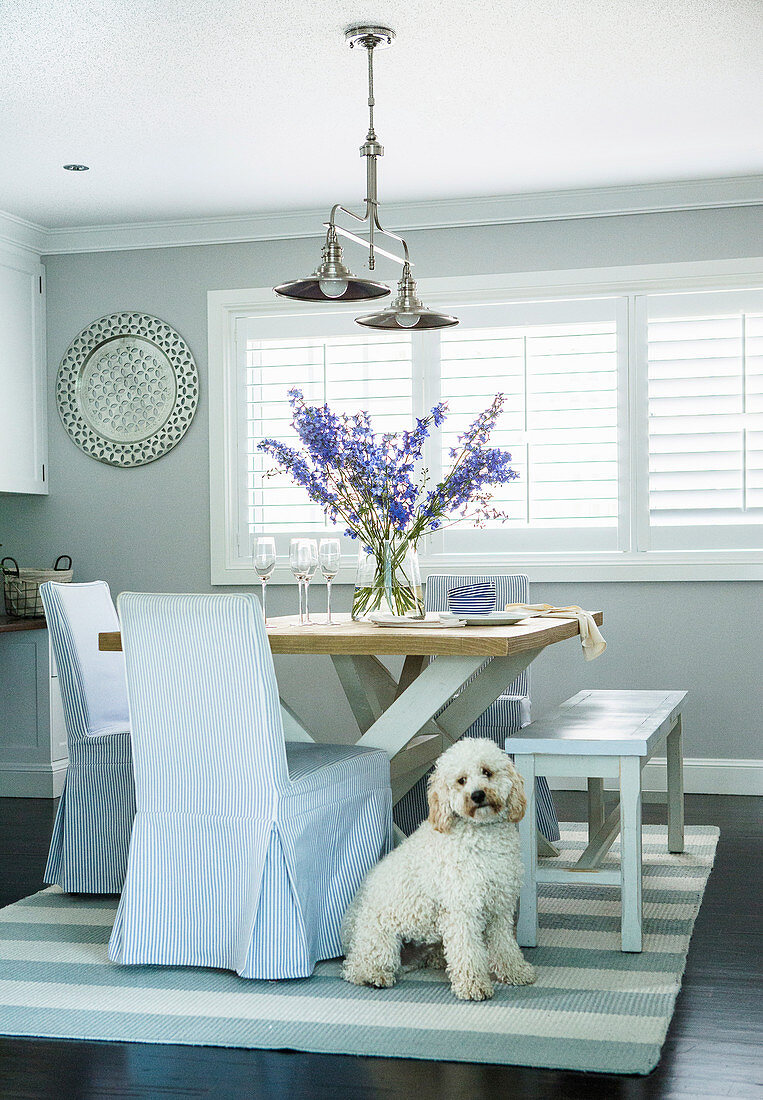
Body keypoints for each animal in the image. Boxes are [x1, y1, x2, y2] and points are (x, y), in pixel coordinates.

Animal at [343, 734, 538, 1003]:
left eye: (487, 772)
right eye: (461, 780)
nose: (477, 795)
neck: (482, 835)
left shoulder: (499, 908)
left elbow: (504, 946)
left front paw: (515, 971)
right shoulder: (462, 909)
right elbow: (467, 950)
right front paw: (473, 985)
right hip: (380, 937)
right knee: (355, 967)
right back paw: (373, 975)